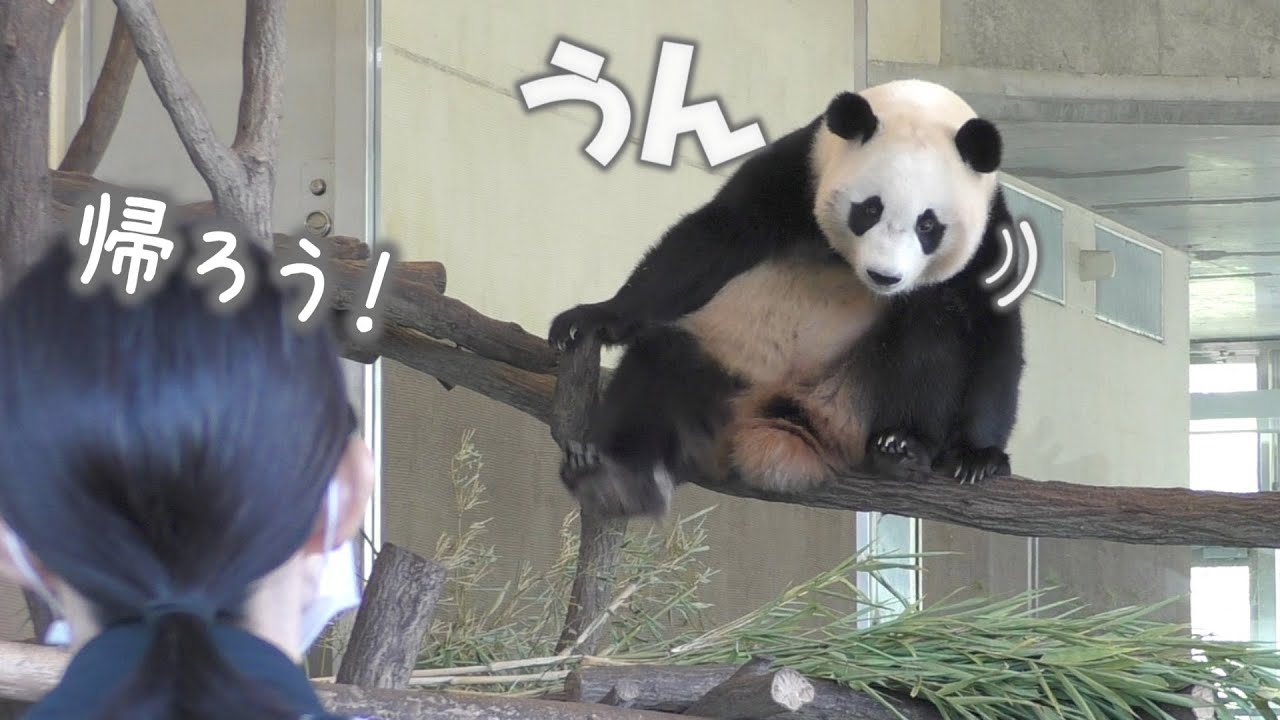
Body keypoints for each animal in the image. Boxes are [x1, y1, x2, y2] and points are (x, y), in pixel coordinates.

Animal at [547, 78, 1026, 519]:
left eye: (929, 225)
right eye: (869, 209)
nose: (884, 276)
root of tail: (770, 421)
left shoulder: (991, 234)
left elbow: (993, 334)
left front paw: (978, 456)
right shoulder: (797, 168)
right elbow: (709, 239)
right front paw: (593, 317)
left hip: (852, 398)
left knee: (933, 320)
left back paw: (901, 446)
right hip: (729, 360)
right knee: (661, 365)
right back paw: (617, 482)